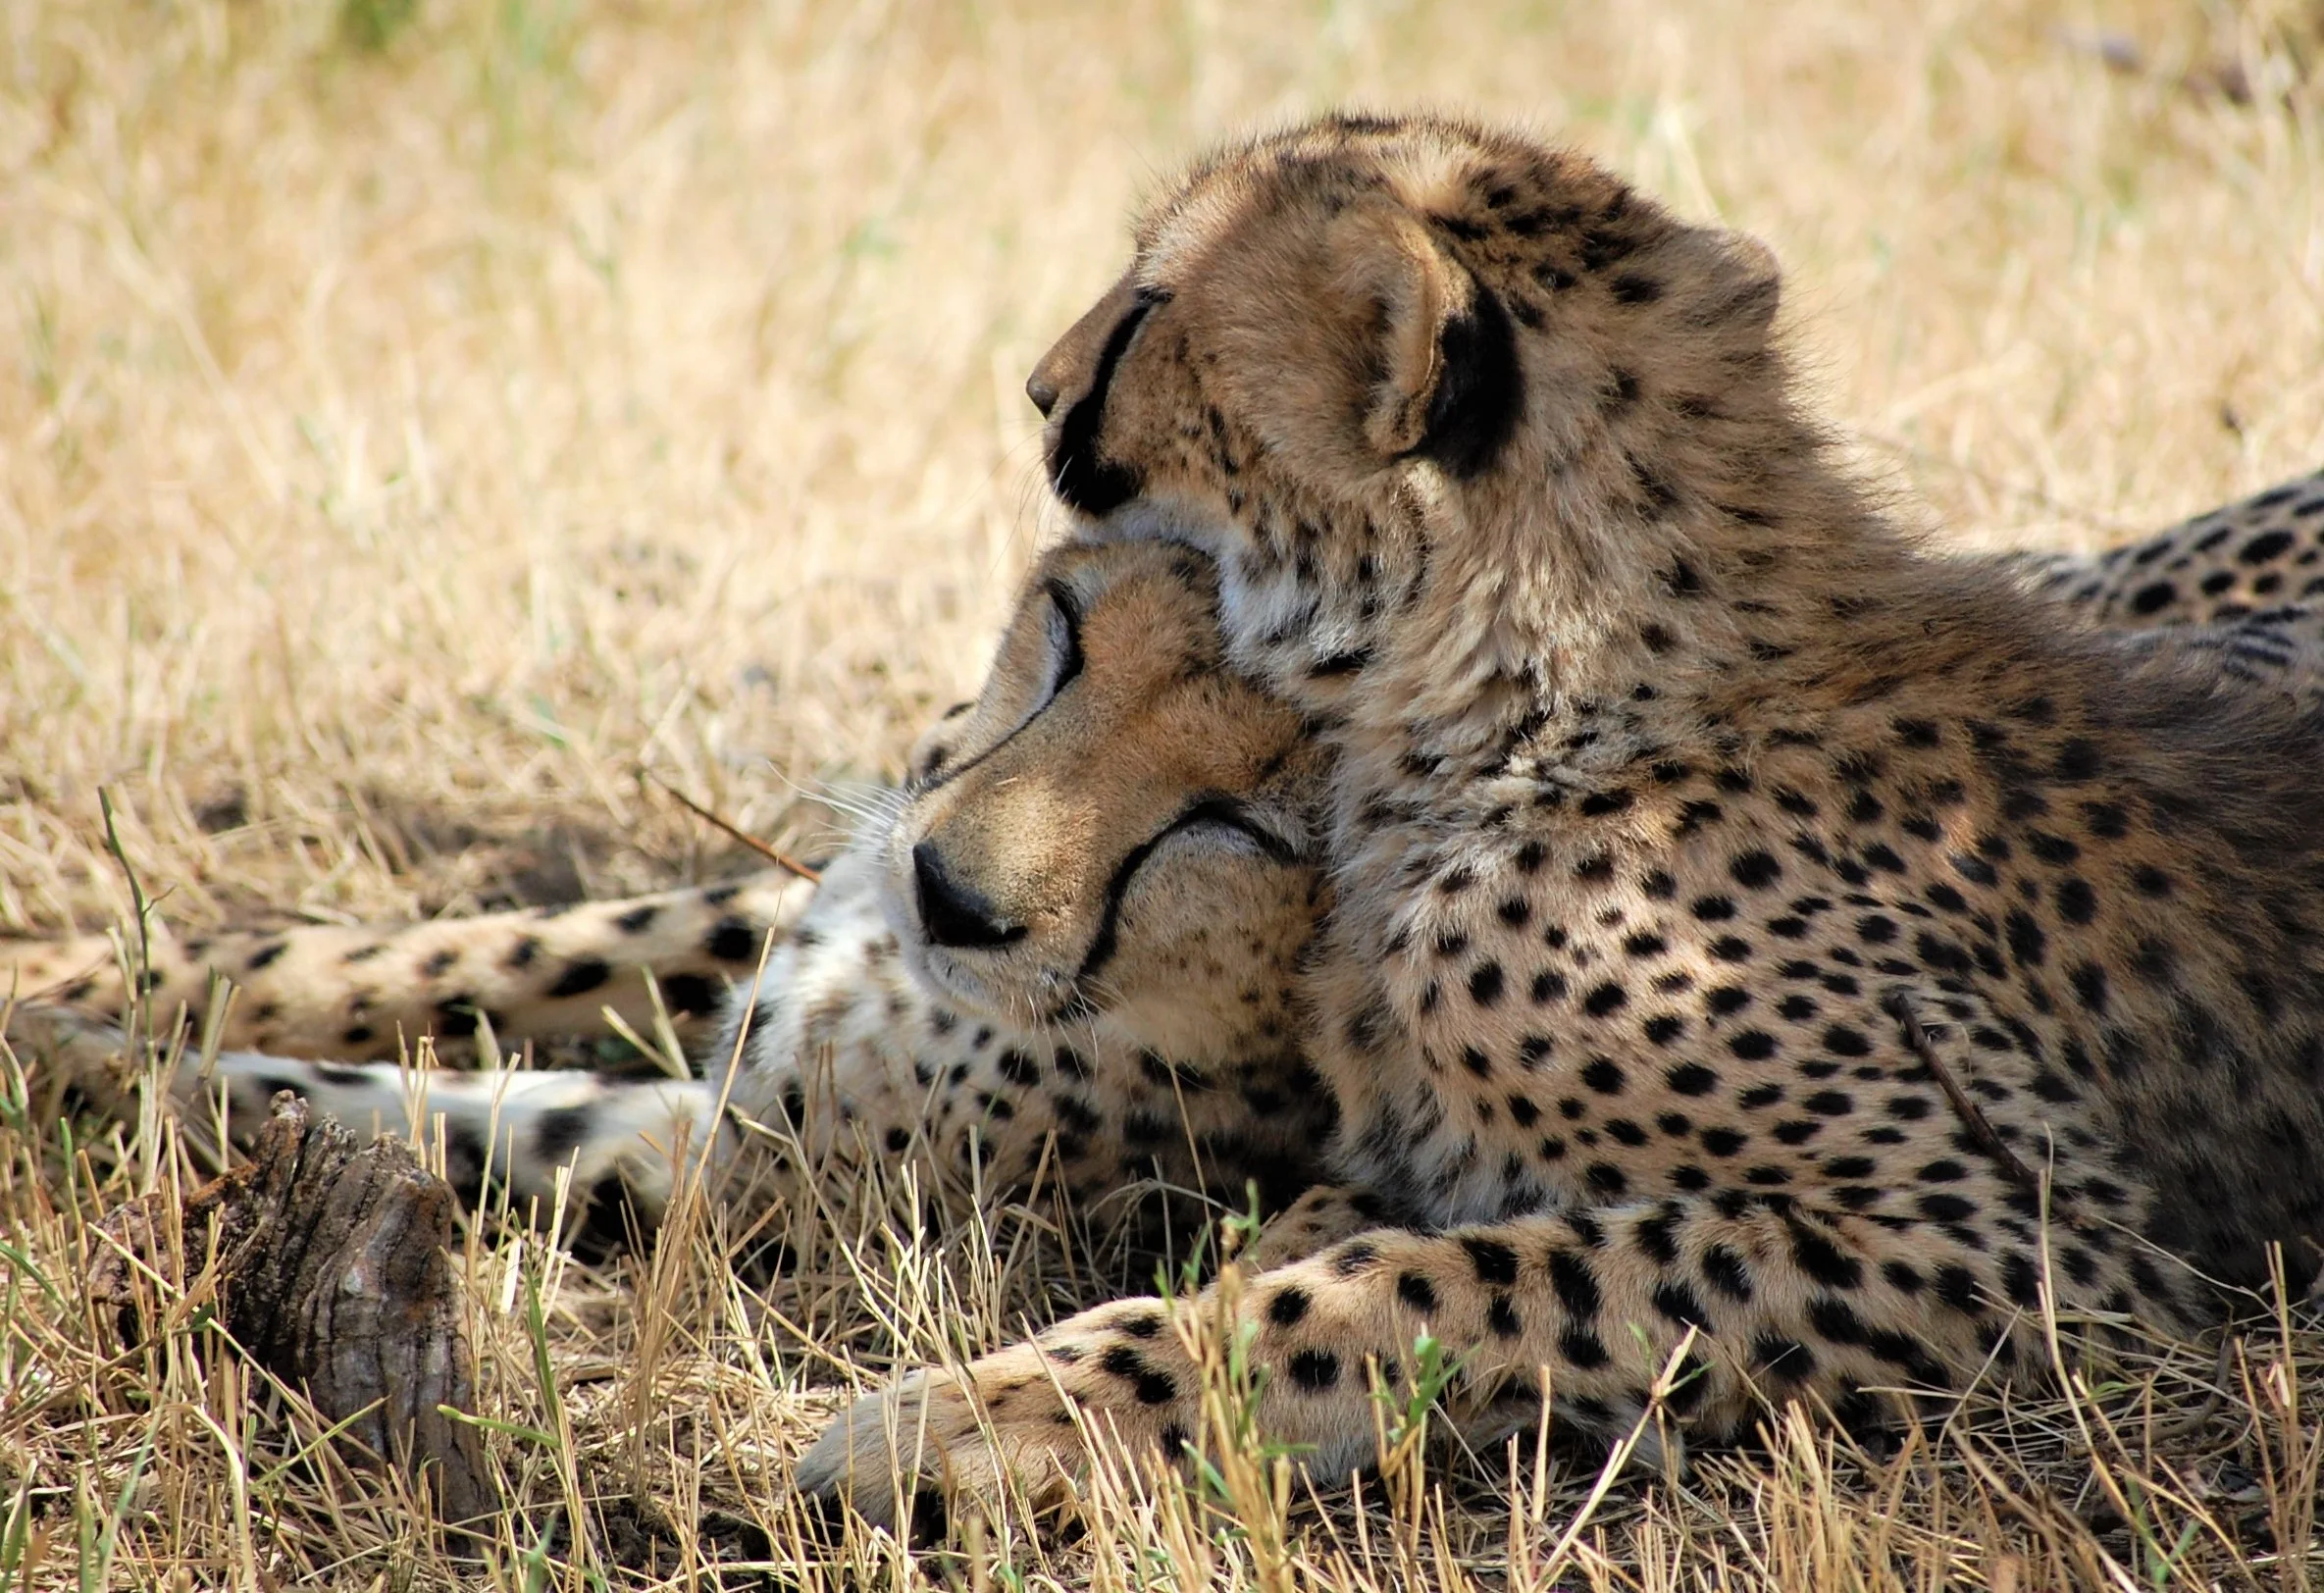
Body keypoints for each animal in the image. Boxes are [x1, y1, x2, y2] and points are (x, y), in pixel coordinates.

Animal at [794, 111, 2324, 1531]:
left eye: (1150, 305)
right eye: (1058, 640)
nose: (1038, 383)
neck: (1533, 692)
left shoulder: (2030, 1241)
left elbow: (1408, 1289)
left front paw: (974, 1420)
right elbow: (1293, 1250)